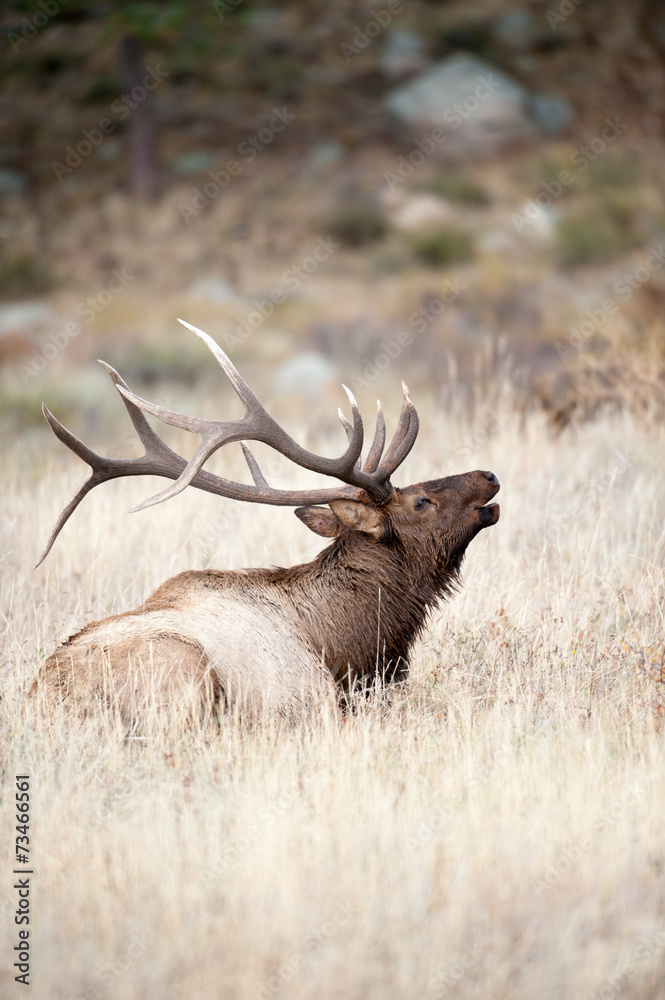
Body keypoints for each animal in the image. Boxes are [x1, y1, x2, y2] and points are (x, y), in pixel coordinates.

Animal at [30, 320, 500, 724]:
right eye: (421, 501)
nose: (489, 475)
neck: (348, 644)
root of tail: (47, 697)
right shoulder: (309, 701)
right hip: (184, 669)